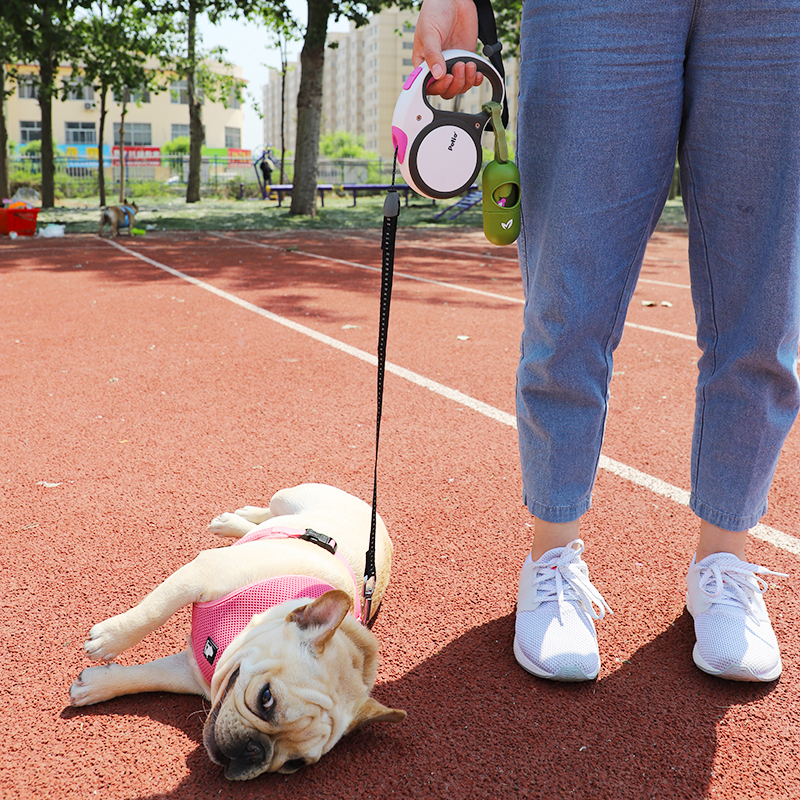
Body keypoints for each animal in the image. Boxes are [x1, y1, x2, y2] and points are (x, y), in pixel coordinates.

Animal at [67, 484, 406, 780]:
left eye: (293, 765)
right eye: (266, 699)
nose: (255, 750)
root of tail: (374, 515)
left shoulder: (196, 673)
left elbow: (149, 677)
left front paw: (97, 686)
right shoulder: (203, 574)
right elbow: (152, 611)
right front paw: (109, 638)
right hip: (289, 496)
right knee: (272, 511)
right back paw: (236, 519)